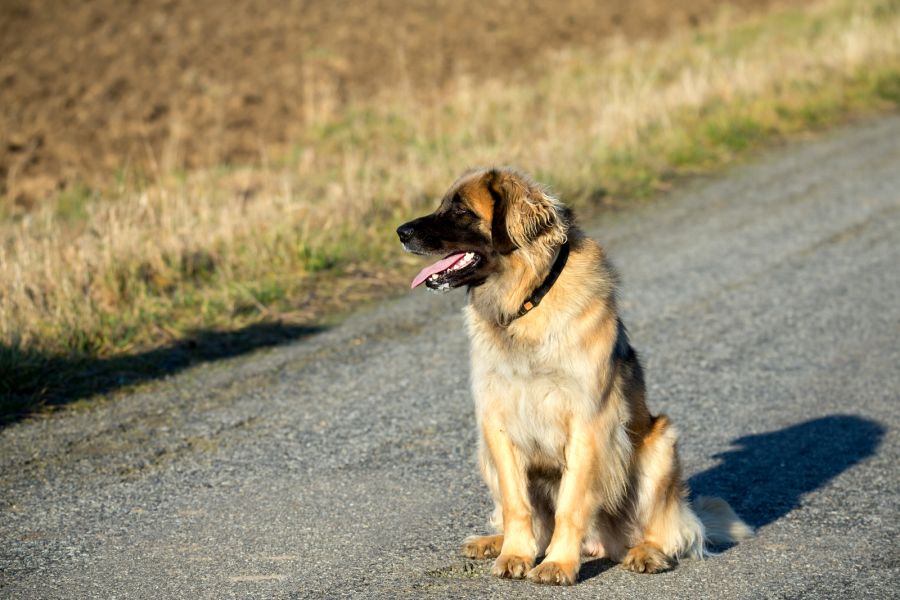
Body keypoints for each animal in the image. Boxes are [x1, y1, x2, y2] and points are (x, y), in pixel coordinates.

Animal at [398, 166, 748, 584]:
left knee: (671, 532)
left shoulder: (589, 422)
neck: (528, 302)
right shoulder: (496, 421)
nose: (400, 232)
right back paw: (493, 542)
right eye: (441, 205)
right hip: (483, 453)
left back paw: (647, 552)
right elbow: (517, 505)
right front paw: (515, 554)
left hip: (660, 444)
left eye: (461, 210)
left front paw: (558, 564)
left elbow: (571, 503)